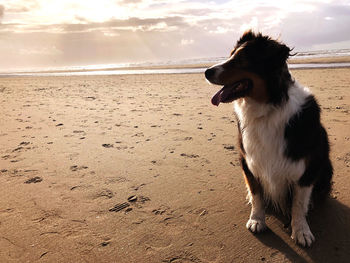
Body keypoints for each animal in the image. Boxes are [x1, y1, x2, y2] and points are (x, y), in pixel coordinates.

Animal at [205, 31, 334, 248]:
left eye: (241, 59)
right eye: (230, 55)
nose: (206, 72)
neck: (268, 108)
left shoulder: (308, 165)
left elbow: (299, 203)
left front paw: (301, 230)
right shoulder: (248, 160)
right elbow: (257, 193)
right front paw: (257, 219)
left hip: (326, 168)